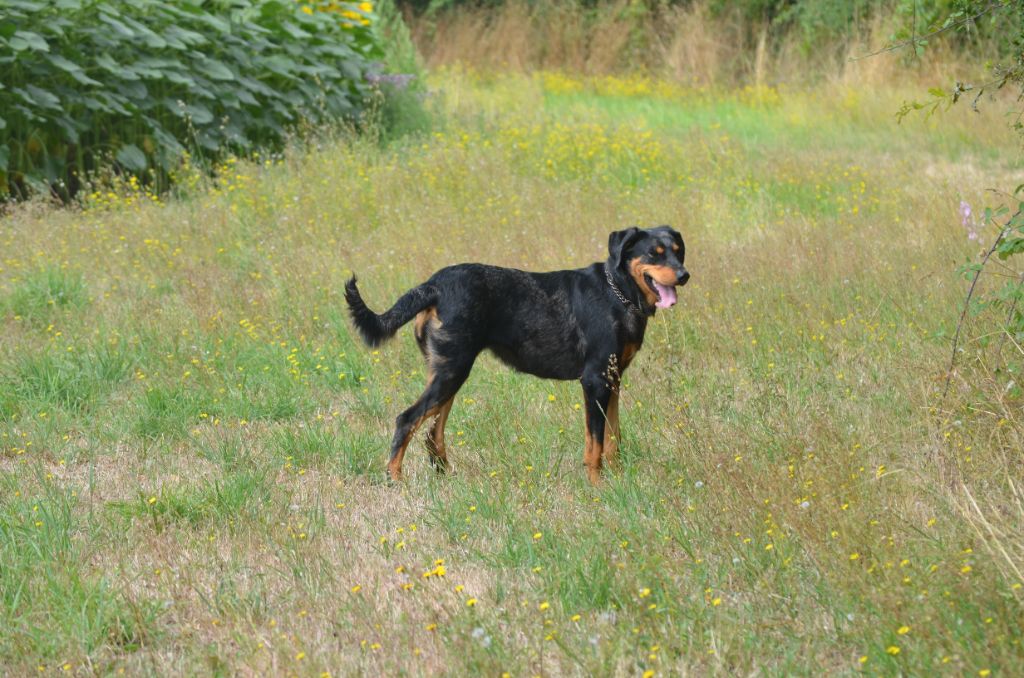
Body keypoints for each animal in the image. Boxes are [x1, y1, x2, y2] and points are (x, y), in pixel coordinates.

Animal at [344, 225, 688, 485]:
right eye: (654, 253)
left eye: (678, 250)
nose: (684, 275)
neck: (618, 293)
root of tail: (433, 286)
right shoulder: (595, 381)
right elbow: (595, 445)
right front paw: (597, 487)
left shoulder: (612, 381)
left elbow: (613, 439)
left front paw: (617, 481)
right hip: (453, 369)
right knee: (407, 420)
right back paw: (395, 479)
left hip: (447, 371)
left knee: (432, 431)